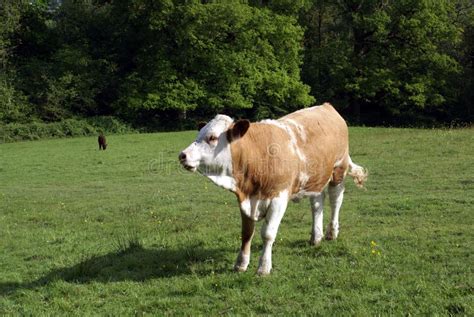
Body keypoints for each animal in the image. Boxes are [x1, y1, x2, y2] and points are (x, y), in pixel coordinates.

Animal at [178, 103, 366, 274]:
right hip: (314, 179)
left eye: (212, 138)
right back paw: (316, 236)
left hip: (338, 170)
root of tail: (327, 106)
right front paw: (241, 264)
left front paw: (263, 267)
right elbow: (247, 232)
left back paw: (331, 233)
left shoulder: (278, 198)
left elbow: (268, 233)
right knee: (317, 204)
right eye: (199, 135)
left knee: (336, 201)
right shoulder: (246, 199)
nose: (182, 155)